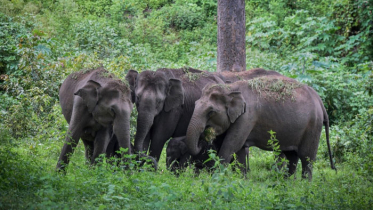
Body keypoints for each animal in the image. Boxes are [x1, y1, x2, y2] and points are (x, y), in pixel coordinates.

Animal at [185, 75, 334, 180]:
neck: (230, 88)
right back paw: (286, 184)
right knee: (292, 156)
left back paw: (304, 185)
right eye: (195, 103)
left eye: (211, 112)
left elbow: (231, 146)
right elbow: (239, 151)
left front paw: (217, 178)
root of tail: (320, 100)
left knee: (307, 158)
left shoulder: (247, 117)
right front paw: (241, 180)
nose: (203, 140)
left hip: (313, 126)